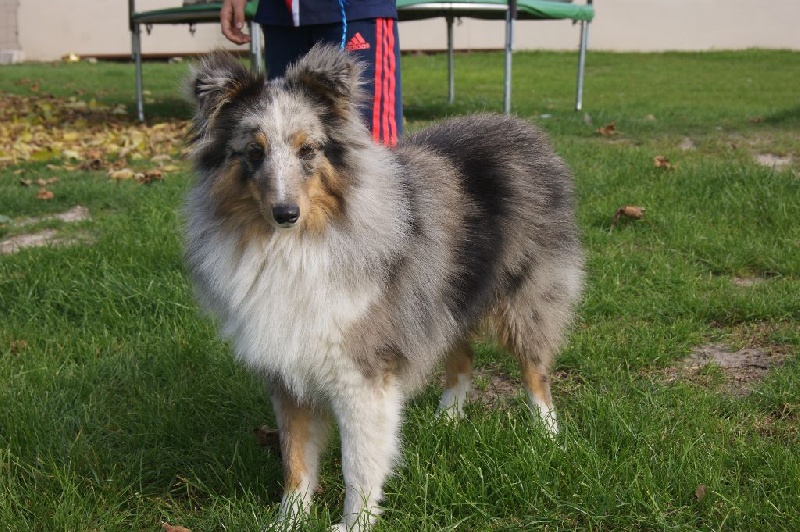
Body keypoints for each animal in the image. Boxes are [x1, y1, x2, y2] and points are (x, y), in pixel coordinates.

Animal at [184, 43, 584, 528]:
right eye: (253, 153)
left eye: (307, 150)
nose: (285, 213)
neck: (297, 244)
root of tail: (522, 127)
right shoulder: (287, 370)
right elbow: (295, 457)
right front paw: (289, 520)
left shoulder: (362, 373)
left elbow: (358, 463)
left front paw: (354, 522)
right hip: (442, 296)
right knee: (462, 353)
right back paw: (447, 418)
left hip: (523, 298)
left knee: (535, 369)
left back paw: (547, 436)